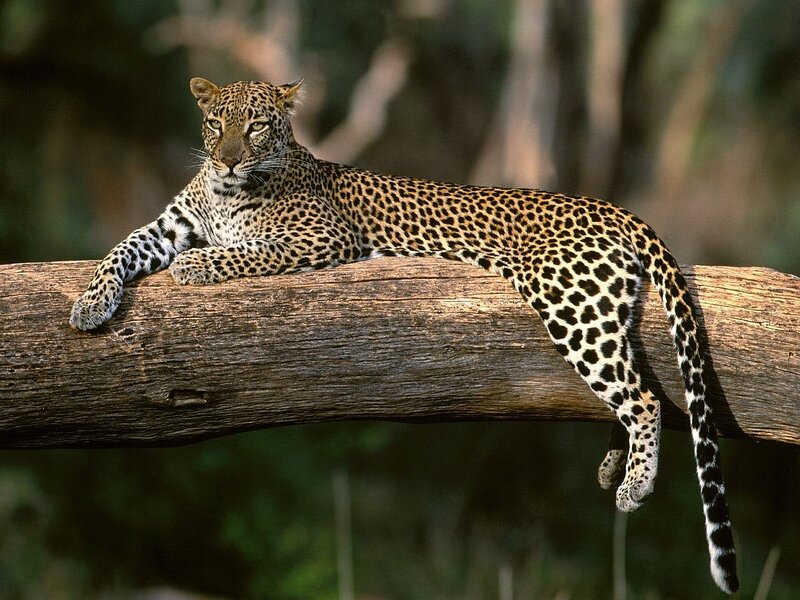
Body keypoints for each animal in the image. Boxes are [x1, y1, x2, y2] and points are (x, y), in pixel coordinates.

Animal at [70, 77, 738, 593]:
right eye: (216, 123)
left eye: (256, 127)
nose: (229, 158)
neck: (226, 190)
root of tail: (613, 207)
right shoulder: (165, 228)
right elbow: (120, 248)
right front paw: (88, 306)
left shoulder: (319, 239)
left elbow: (240, 253)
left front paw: (194, 267)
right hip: (599, 307)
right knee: (629, 382)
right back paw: (611, 467)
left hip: (567, 300)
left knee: (644, 396)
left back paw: (633, 486)